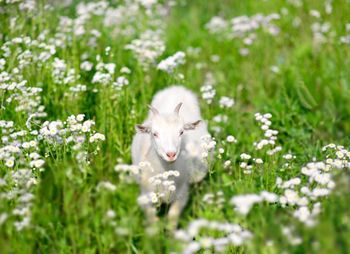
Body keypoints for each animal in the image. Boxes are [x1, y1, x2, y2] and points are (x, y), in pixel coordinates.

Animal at [131, 86, 208, 228]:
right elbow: (152, 219)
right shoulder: (146, 195)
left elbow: (173, 216)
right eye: (154, 133)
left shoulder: (182, 195)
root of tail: (176, 88)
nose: (171, 154)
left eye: (181, 132)